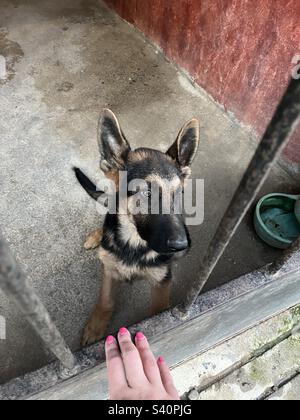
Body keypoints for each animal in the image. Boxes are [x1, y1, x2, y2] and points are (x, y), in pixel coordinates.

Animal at [75, 110, 199, 346]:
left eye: (179, 193)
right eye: (146, 192)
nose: (182, 245)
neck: (135, 244)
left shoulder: (162, 282)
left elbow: (157, 314)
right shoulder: (109, 269)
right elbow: (105, 301)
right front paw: (96, 327)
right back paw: (96, 237)